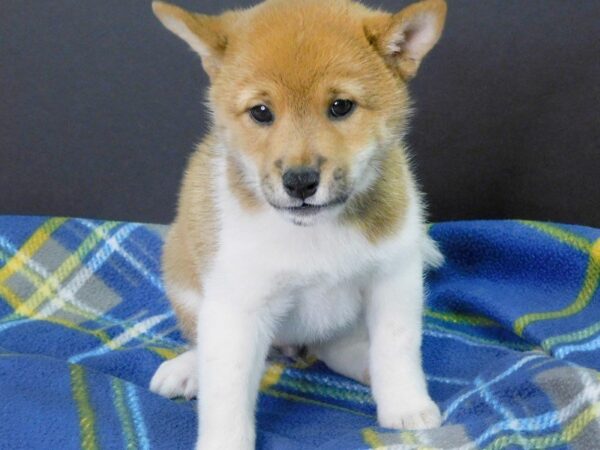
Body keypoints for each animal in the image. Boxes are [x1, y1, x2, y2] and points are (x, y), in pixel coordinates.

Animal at [150, 1, 448, 448]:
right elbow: (227, 390)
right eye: (261, 112)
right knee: (206, 346)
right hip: (186, 282)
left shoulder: (393, 278)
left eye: (341, 106)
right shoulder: (238, 307)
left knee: (336, 347)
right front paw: (223, 438)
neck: (312, 232)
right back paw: (187, 370)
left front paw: (405, 404)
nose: (301, 182)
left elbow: (396, 348)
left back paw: (365, 367)